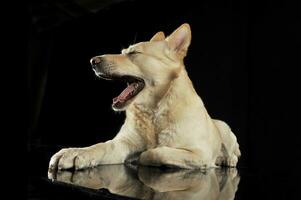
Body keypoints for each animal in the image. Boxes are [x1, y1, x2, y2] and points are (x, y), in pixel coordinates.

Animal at [48, 23, 239, 170]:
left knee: (234, 152)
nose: (93, 61)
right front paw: (76, 152)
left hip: (224, 129)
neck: (154, 111)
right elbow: (99, 146)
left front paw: (140, 158)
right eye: (123, 52)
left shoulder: (199, 154)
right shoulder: (121, 144)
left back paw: (227, 159)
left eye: (133, 53)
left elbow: (154, 153)